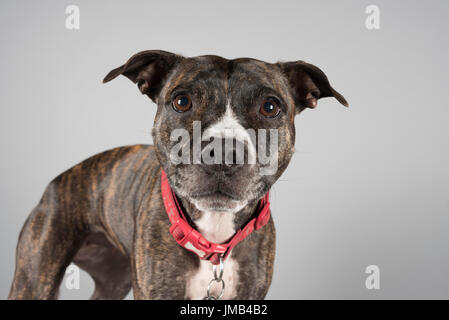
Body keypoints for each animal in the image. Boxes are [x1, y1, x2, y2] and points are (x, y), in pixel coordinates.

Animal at [9, 50, 346, 300]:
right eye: (181, 101)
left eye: (270, 106)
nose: (223, 152)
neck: (214, 242)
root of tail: (62, 179)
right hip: (34, 278)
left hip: (112, 280)